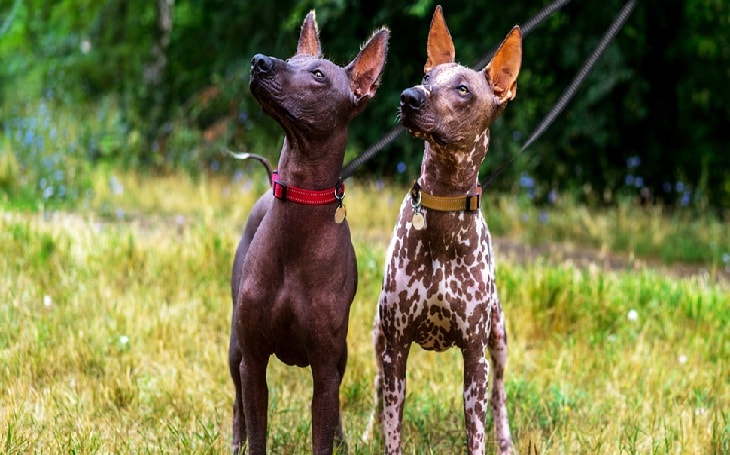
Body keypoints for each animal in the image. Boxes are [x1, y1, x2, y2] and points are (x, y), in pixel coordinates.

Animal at [226, 10, 386, 455]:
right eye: (289, 58)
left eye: (317, 74)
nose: (259, 61)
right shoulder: (254, 359)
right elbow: (257, 428)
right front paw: (248, 443)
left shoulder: (326, 368)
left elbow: (324, 431)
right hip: (234, 347)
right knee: (237, 400)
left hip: (341, 356)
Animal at [370, 6, 516, 455]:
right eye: (427, 77)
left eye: (463, 89)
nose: (409, 96)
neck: (444, 211)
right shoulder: (396, 347)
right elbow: (392, 428)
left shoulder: (475, 358)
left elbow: (477, 431)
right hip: (377, 336)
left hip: (499, 340)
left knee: (500, 394)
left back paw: (507, 440)